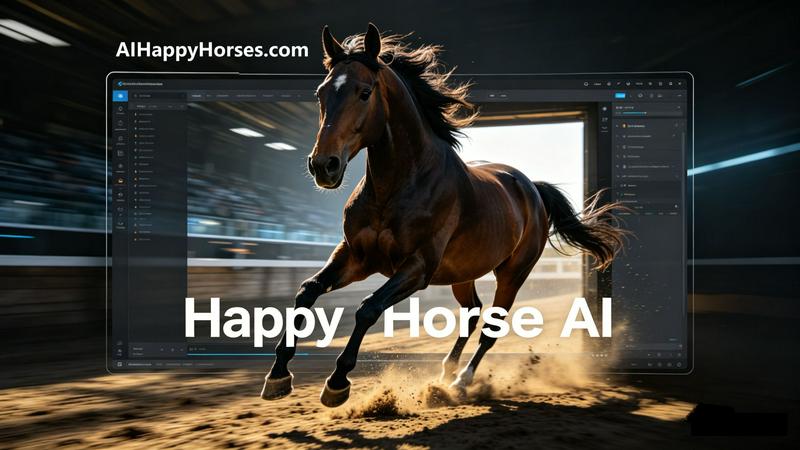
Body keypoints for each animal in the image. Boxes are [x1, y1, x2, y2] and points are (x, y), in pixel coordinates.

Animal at [261, 23, 627, 407]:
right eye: (321, 93)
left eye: (364, 92)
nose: (323, 166)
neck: (399, 186)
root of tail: (532, 189)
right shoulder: (356, 257)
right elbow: (307, 291)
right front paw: (278, 376)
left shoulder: (418, 267)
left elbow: (367, 308)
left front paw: (337, 383)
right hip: (462, 273)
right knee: (472, 312)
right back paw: (446, 373)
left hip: (512, 274)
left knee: (491, 327)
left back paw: (461, 381)